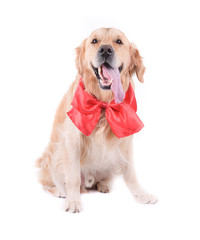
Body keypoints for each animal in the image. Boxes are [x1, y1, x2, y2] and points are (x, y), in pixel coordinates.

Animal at [36, 27, 158, 213]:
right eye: (94, 41)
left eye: (119, 41)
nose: (105, 50)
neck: (104, 103)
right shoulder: (72, 139)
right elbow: (72, 176)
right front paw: (73, 200)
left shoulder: (125, 137)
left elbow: (130, 173)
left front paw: (141, 194)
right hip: (53, 154)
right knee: (49, 181)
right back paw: (60, 190)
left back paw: (103, 185)